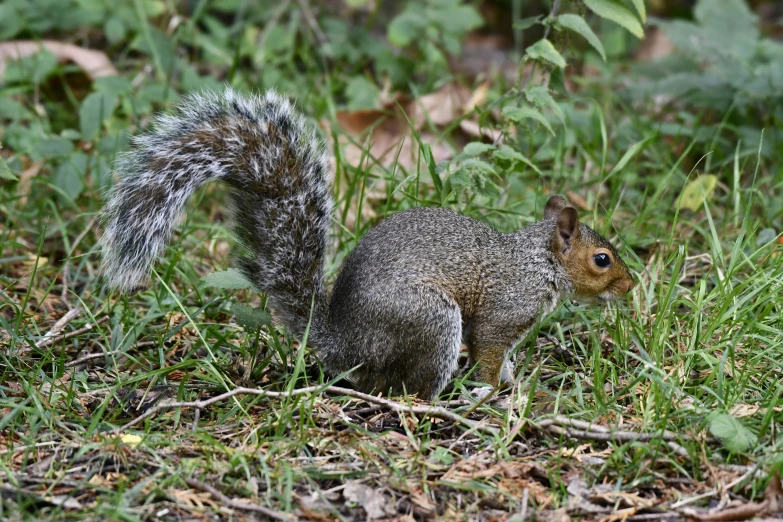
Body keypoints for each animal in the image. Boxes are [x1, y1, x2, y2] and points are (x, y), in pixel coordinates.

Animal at [99, 88, 636, 398]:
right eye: (602, 260)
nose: (631, 286)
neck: (538, 262)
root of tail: (345, 344)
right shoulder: (504, 312)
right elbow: (487, 350)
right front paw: (491, 394)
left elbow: (501, 361)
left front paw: (513, 382)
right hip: (430, 321)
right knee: (407, 389)